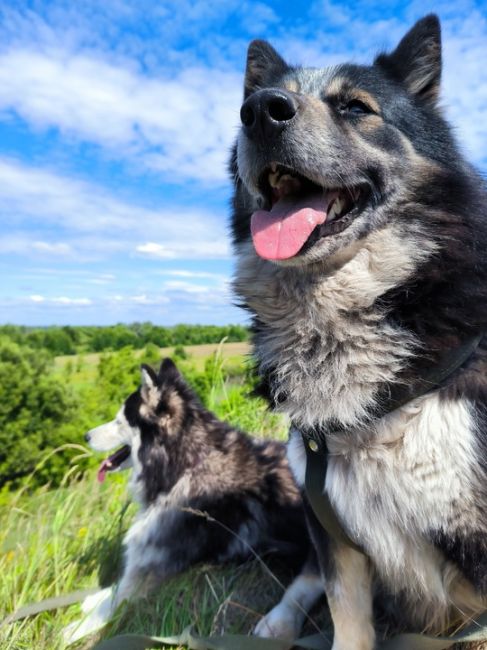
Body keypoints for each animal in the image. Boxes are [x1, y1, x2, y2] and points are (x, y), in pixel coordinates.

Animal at [65, 356, 310, 640]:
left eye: (118, 421)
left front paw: (78, 626)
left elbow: (118, 598)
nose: (85, 436)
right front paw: (93, 599)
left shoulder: (155, 567)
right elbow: (115, 587)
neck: (188, 464)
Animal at [233, 12, 487, 644]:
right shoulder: (333, 526)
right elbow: (345, 617)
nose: (260, 111)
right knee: (305, 577)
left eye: (354, 107)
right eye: (248, 108)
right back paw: (276, 623)